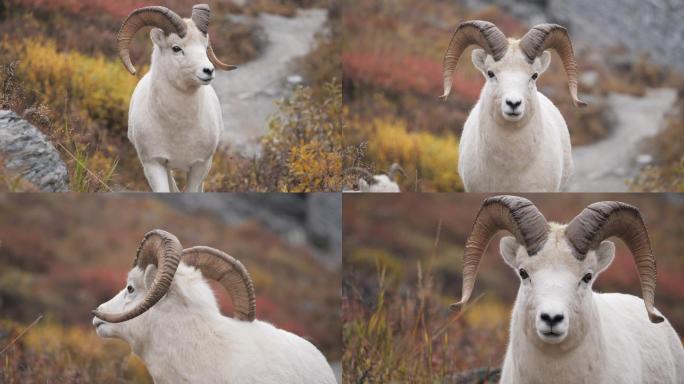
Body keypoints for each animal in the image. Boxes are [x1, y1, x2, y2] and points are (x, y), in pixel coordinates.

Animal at [117, 5, 235, 191]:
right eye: (176, 48)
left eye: (205, 47)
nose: (208, 71)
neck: (178, 128)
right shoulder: (154, 164)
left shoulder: (200, 166)